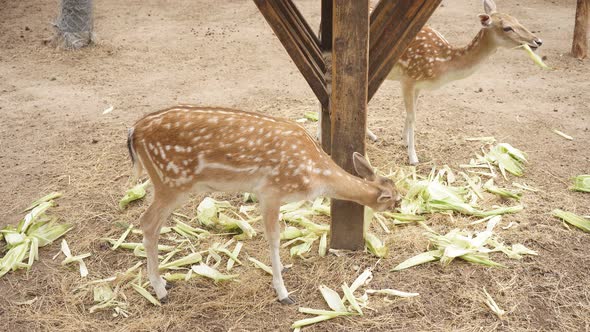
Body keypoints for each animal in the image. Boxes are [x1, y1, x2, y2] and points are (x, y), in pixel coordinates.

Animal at [126, 105, 400, 304]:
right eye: (396, 199)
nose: (399, 206)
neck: (316, 172)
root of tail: (134, 132)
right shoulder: (271, 191)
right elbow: (274, 238)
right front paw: (283, 293)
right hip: (171, 183)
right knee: (147, 222)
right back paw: (160, 290)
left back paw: (164, 282)